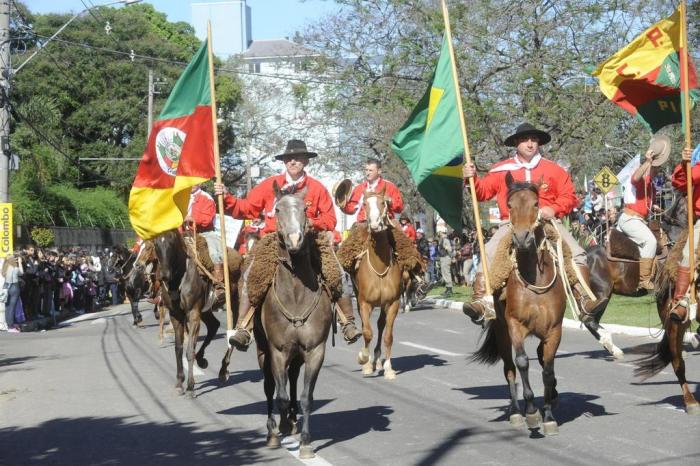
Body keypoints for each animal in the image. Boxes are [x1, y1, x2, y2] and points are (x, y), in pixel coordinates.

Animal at [258, 183, 334, 458]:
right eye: (278, 209)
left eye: (305, 209)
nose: (294, 240)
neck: (296, 296)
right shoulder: (277, 351)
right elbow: (278, 395)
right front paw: (281, 427)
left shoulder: (315, 351)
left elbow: (305, 398)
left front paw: (306, 443)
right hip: (263, 352)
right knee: (270, 387)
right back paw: (273, 431)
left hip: (298, 354)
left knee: (291, 378)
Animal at [352, 188, 402, 378]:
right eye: (365, 204)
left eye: (383, 203)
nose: (374, 225)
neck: (380, 267)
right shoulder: (364, 302)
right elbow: (367, 332)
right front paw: (364, 361)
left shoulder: (393, 303)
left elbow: (388, 336)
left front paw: (388, 368)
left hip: (383, 304)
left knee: (381, 325)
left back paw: (378, 361)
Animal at [470, 173, 568, 436]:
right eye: (510, 205)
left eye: (536, 204)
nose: (522, 238)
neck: (534, 281)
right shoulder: (515, 325)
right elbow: (523, 363)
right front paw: (532, 413)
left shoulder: (554, 329)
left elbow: (547, 369)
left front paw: (549, 416)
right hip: (502, 333)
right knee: (509, 369)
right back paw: (516, 412)